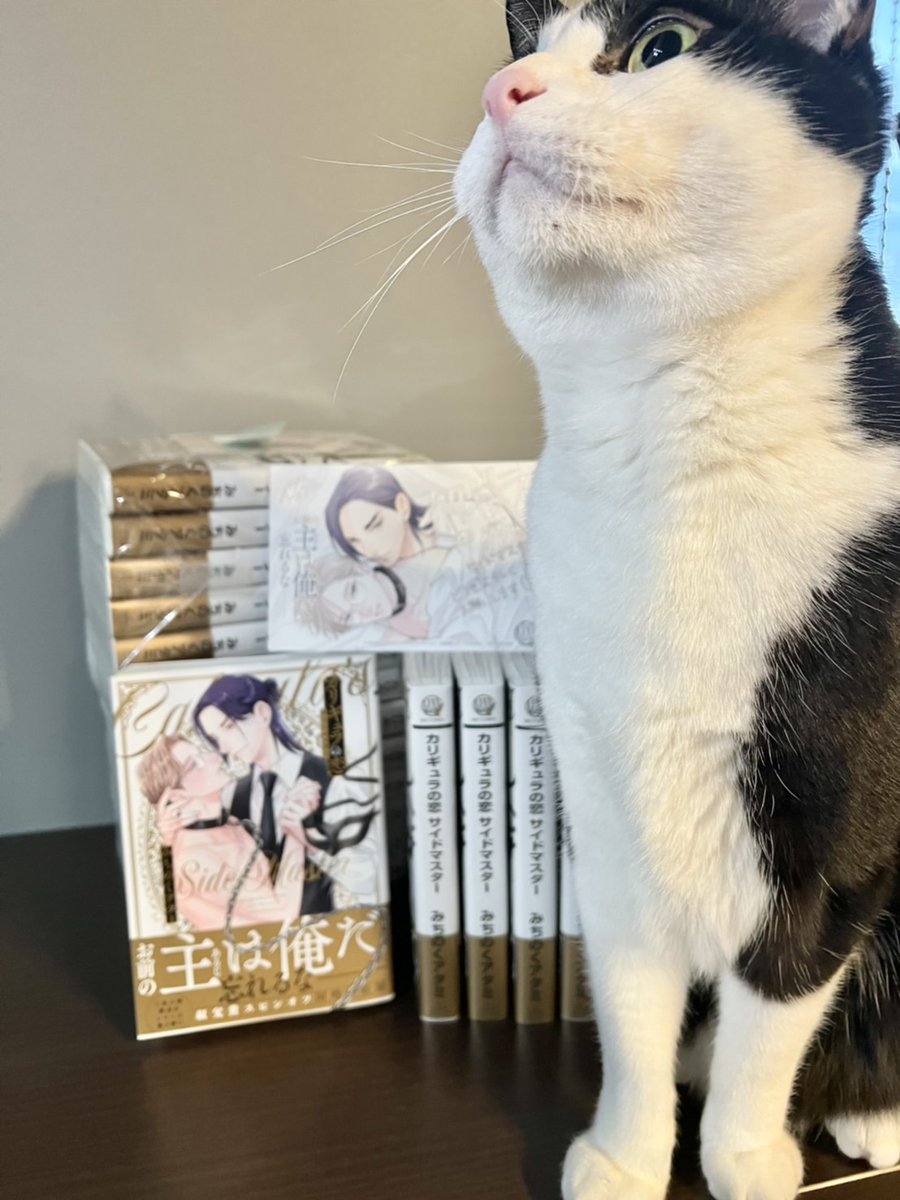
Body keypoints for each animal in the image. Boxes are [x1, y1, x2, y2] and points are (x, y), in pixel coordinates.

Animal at [455, 2, 900, 1199]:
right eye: (524, 51)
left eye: (660, 47)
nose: (504, 92)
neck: (665, 463)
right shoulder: (603, 815)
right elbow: (633, 1008)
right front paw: (628, 1150)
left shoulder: (834, 844)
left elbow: (774, 1006)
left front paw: (742, 1154)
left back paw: (867, 1112)